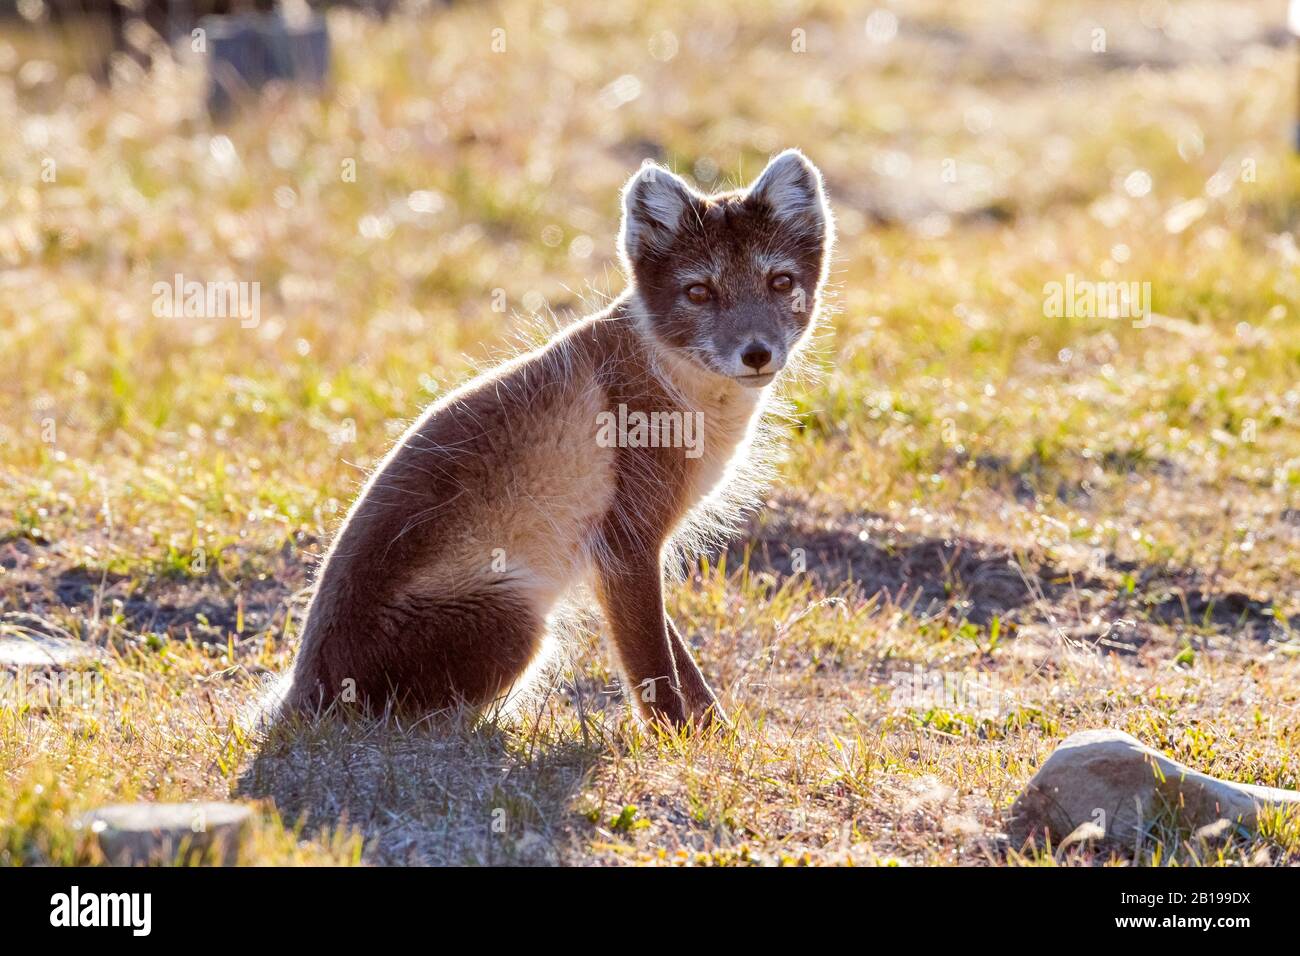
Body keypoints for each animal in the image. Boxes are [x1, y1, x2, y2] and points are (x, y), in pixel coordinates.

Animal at [279, 149, 837, 728]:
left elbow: (678, 658)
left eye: (780, 282)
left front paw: (715, 733)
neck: (673, 379)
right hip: (517, 622)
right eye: (699, 292)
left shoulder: (617, 558)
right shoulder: (626, 543)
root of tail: (300, 691)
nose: (757, 353)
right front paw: (676, 739)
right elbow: (653, 668)